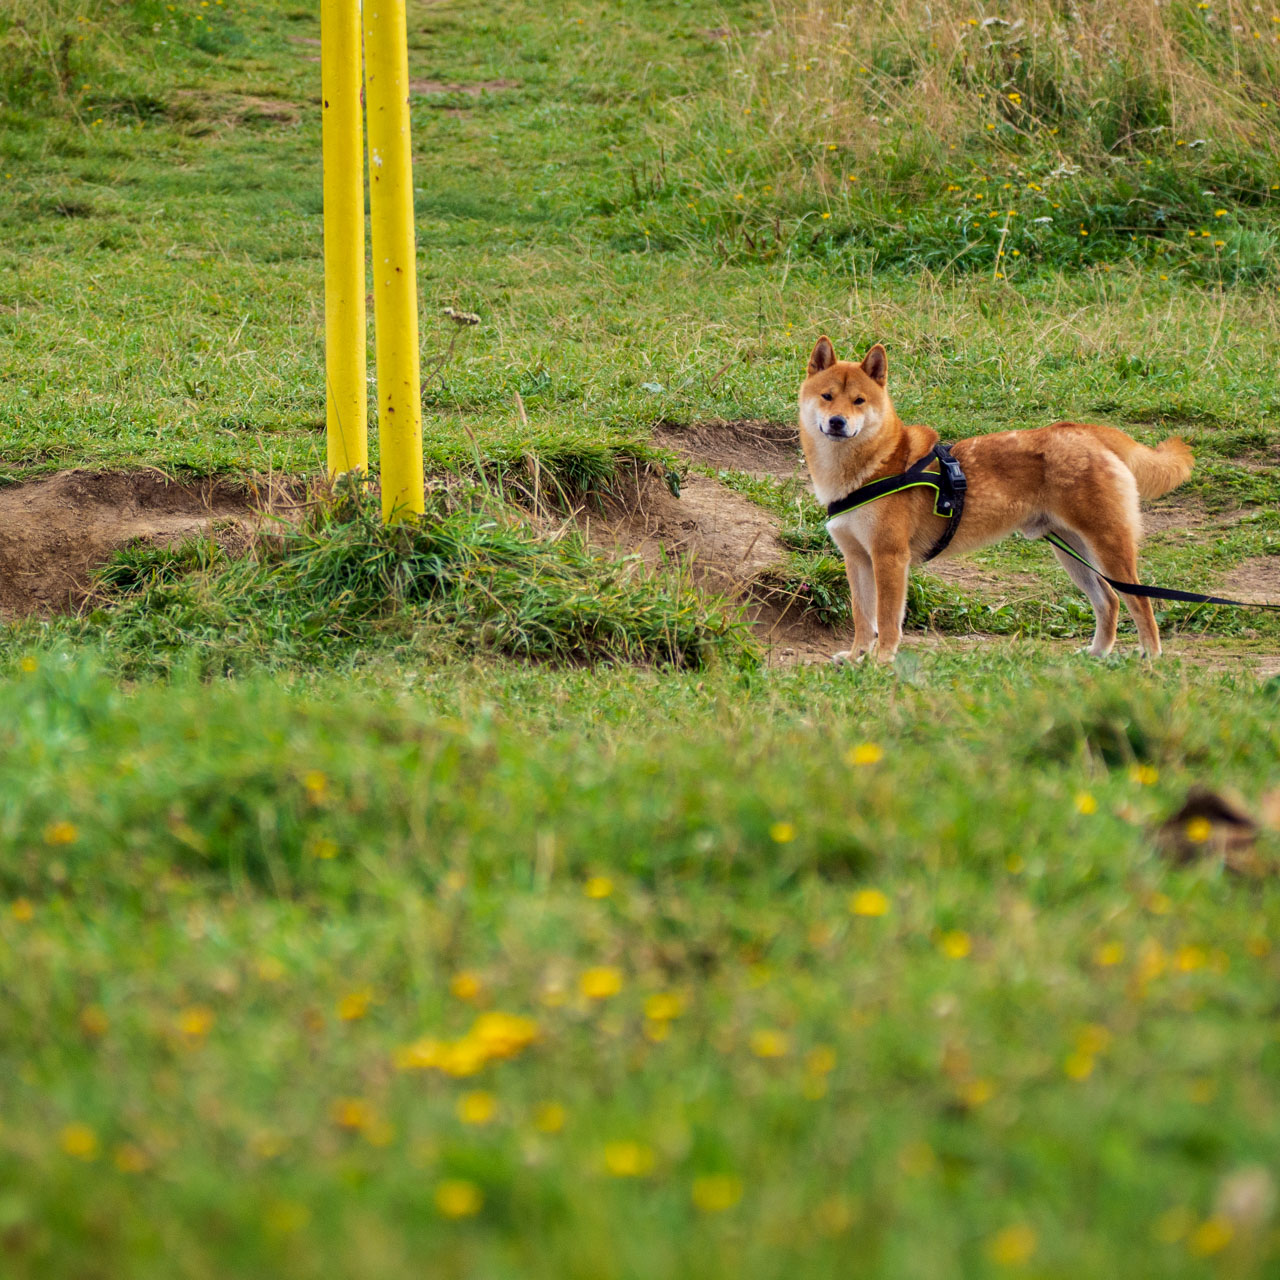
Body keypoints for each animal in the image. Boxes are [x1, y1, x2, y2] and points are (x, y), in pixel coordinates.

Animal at [803, 335, 1192, 665]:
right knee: (1108, 601)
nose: (837, 422)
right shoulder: (857, 559)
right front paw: (857, 657)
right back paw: (1097, 653)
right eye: (827, 397)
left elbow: (885, 620)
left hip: (1108, 546)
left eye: (859, 401)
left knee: (1140, 600)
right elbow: (862, 617)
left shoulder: (890, 558)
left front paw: (882, 661)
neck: (875, 466)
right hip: (1074, 555)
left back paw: (1151, 658)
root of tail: (1086, 432)